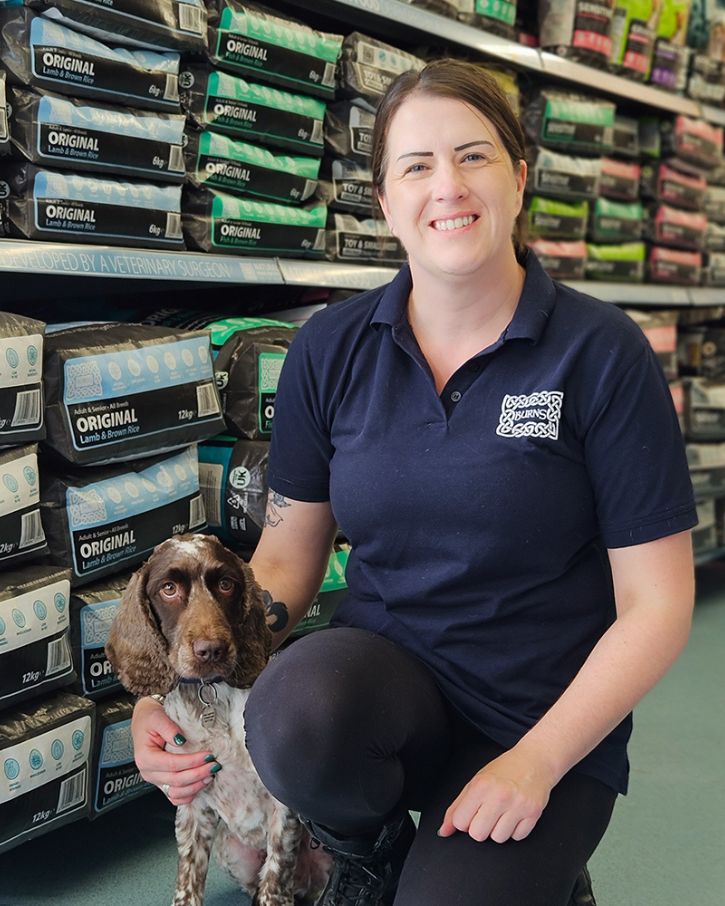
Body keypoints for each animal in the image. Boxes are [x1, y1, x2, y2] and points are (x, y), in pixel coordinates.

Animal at [105, 532, 330, 904]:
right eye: (169, 588)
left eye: (226, 584)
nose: (211, 650)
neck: (210, 694)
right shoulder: (192, 806)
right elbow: (188, 881)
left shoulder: (282, 808)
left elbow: (275, 878)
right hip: (232, 849)